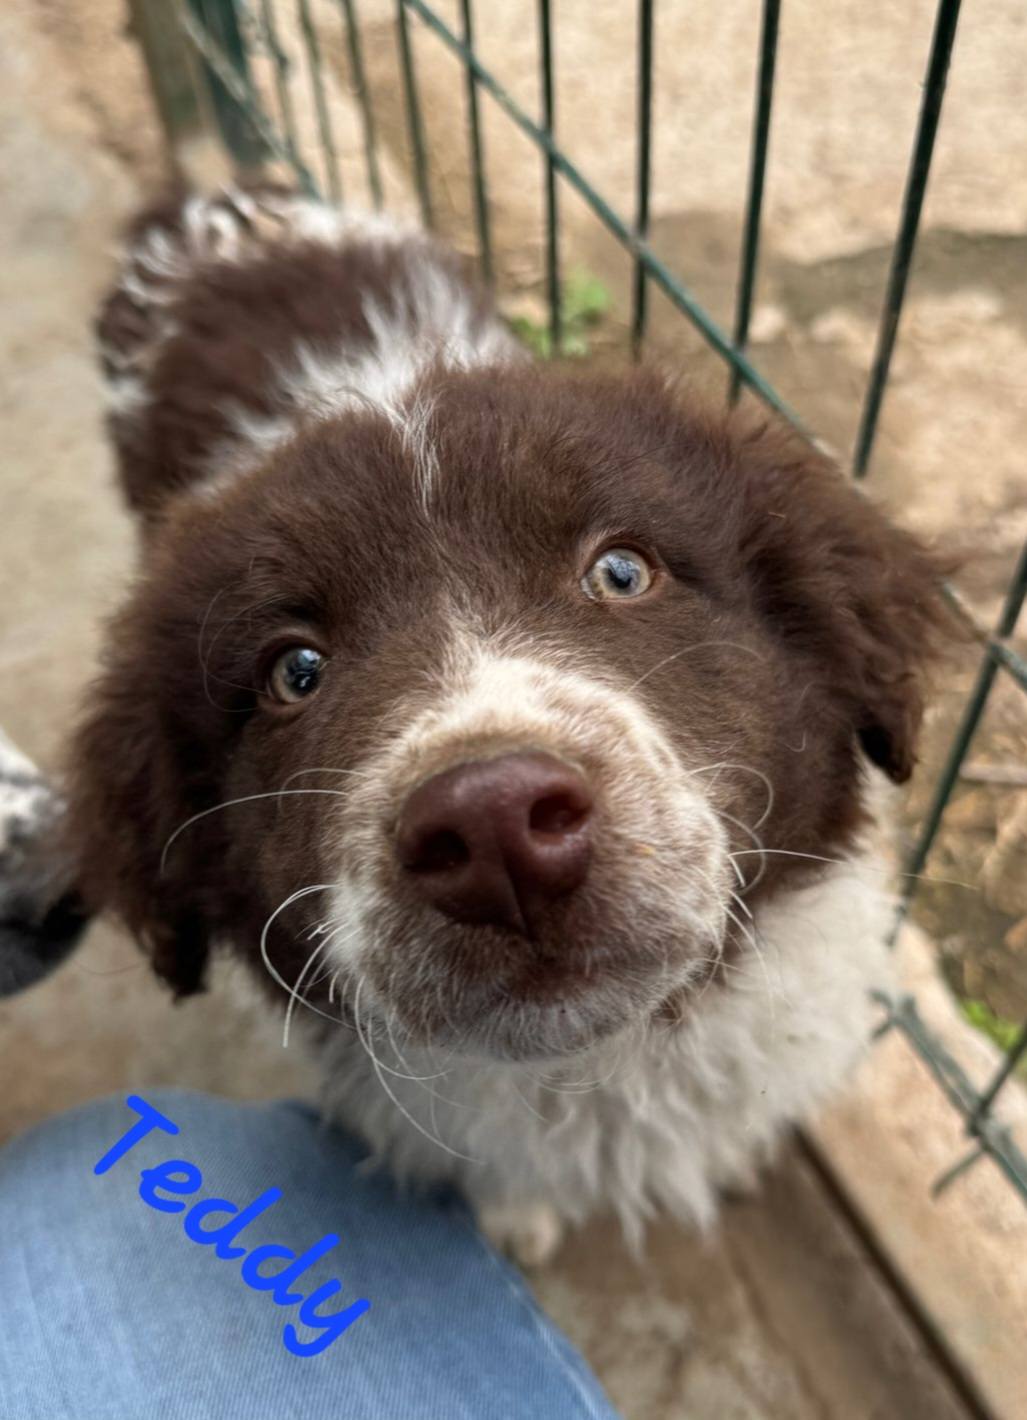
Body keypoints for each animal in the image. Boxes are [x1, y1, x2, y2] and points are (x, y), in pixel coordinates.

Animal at [67, 186, 948, 1262]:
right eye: (294, 673)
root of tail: (204, 203)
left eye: (622, 571)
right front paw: (518, 1215)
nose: (492, 825)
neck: (602, 1065)